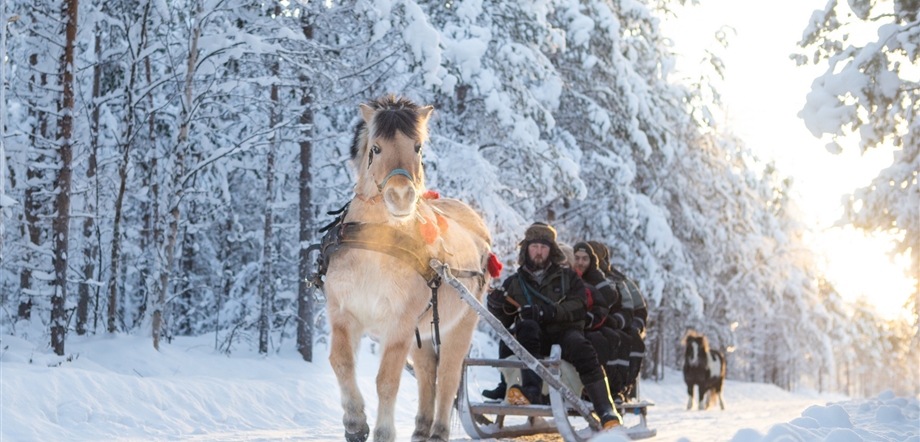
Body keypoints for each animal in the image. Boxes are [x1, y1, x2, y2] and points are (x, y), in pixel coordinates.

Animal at [324, 96, 496, 442]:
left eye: (417, 147)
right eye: (376, 148)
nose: (401, 196)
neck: (375, 246)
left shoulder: (399, 323)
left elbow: (387, 380)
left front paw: (383, 432)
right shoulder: (343, 312)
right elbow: (341, 362)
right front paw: (355, 423)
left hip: (461, 324)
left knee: (447, 375)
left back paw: (438, 431)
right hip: (425, 331)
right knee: (427, 373)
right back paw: (421, 429)